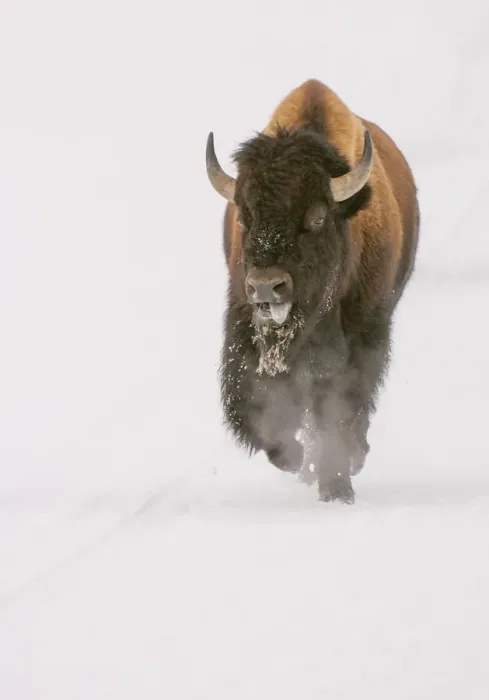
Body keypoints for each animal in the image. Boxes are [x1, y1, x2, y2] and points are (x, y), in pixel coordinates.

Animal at [206, 79, 419, 503]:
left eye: (317, 217)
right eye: (244, 218)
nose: (266, 286)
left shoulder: (363, 337)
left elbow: (341, 412)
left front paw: (337, 485)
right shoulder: (244, 331)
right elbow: (258, 407)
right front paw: (293, 458)